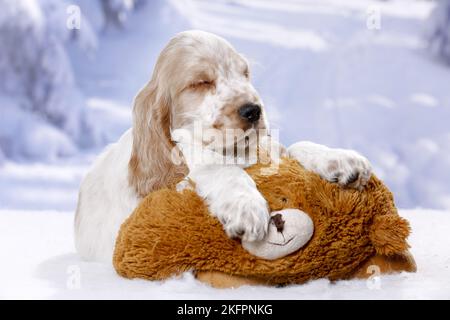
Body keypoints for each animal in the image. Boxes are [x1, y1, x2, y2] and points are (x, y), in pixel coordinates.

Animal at [73, 30, 370, 262]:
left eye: (245, 73)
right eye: (202, 82)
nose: (253, 110)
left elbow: (294, 146)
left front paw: (341, 161)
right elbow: (217, 167)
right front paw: (246, 208)